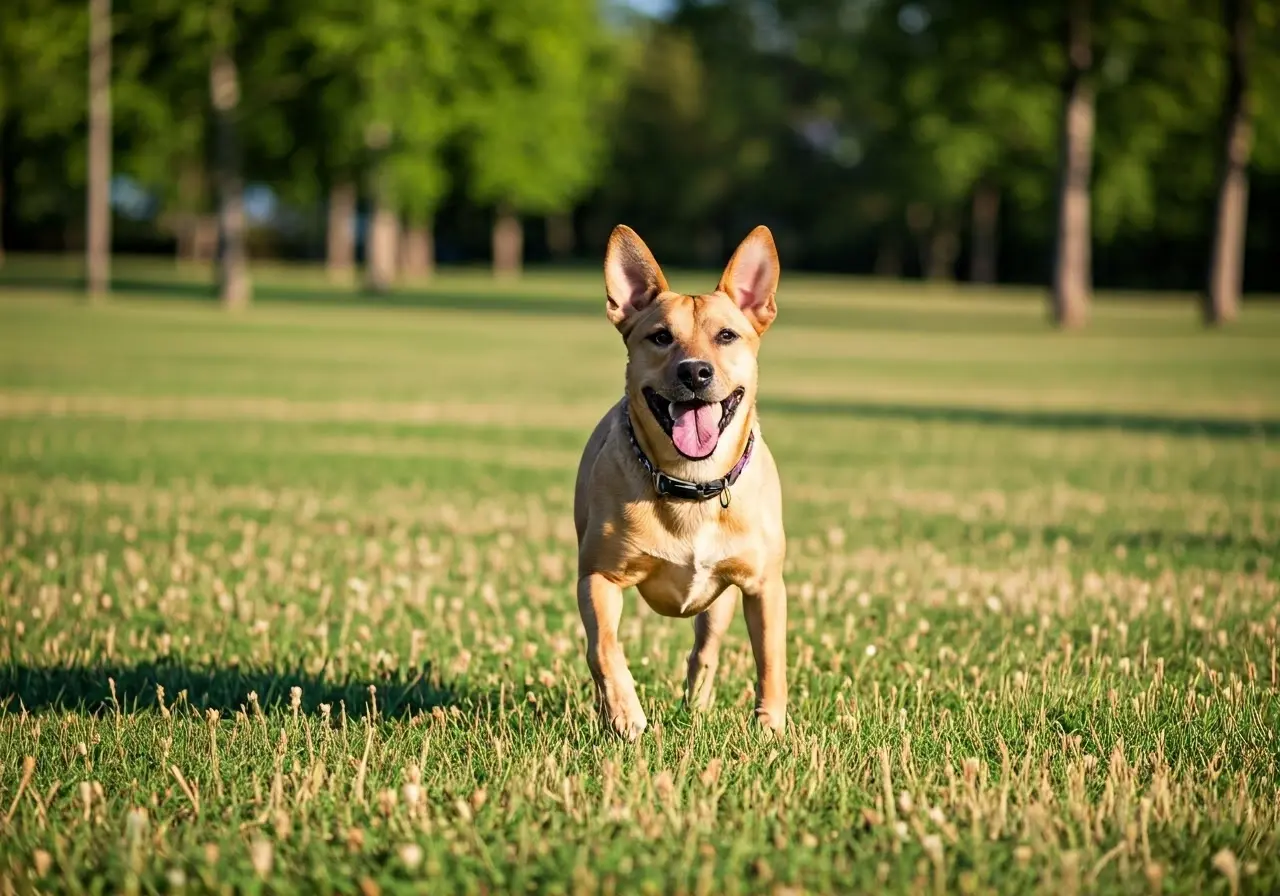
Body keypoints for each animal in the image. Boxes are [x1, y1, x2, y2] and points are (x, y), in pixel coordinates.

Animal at [573, 225, 788, 742]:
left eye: (727, 335)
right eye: (660, 337)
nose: (694, 371)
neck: (691, 483)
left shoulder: (764, 586)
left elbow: (771, 659)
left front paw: (770, 728)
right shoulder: (598, 578)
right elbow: (604, 648)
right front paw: (626, 715)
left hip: (719, 602)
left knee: (704, 652)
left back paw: (697, 708)